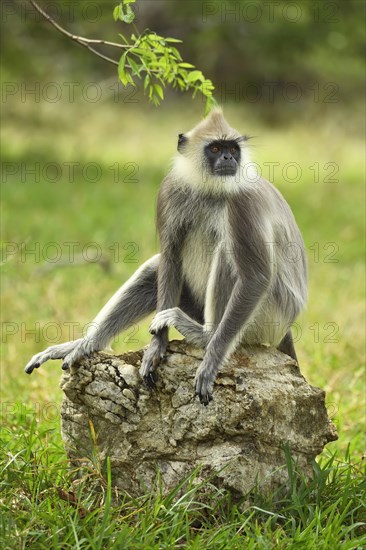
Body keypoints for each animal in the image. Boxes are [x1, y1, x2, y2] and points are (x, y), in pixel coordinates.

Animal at [24, 110, 308, 408]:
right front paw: (156, 347)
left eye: (233, 149)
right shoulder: (170, 190)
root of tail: (287, 326)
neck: (209, 190)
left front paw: (211, 360)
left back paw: (206, 336)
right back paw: (87, 345)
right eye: (215, 149)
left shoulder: (243, 200)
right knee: (155, 267)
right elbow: (170, 256)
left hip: (268, 319)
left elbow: (256, 276)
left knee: (228, 255)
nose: (229, 159)